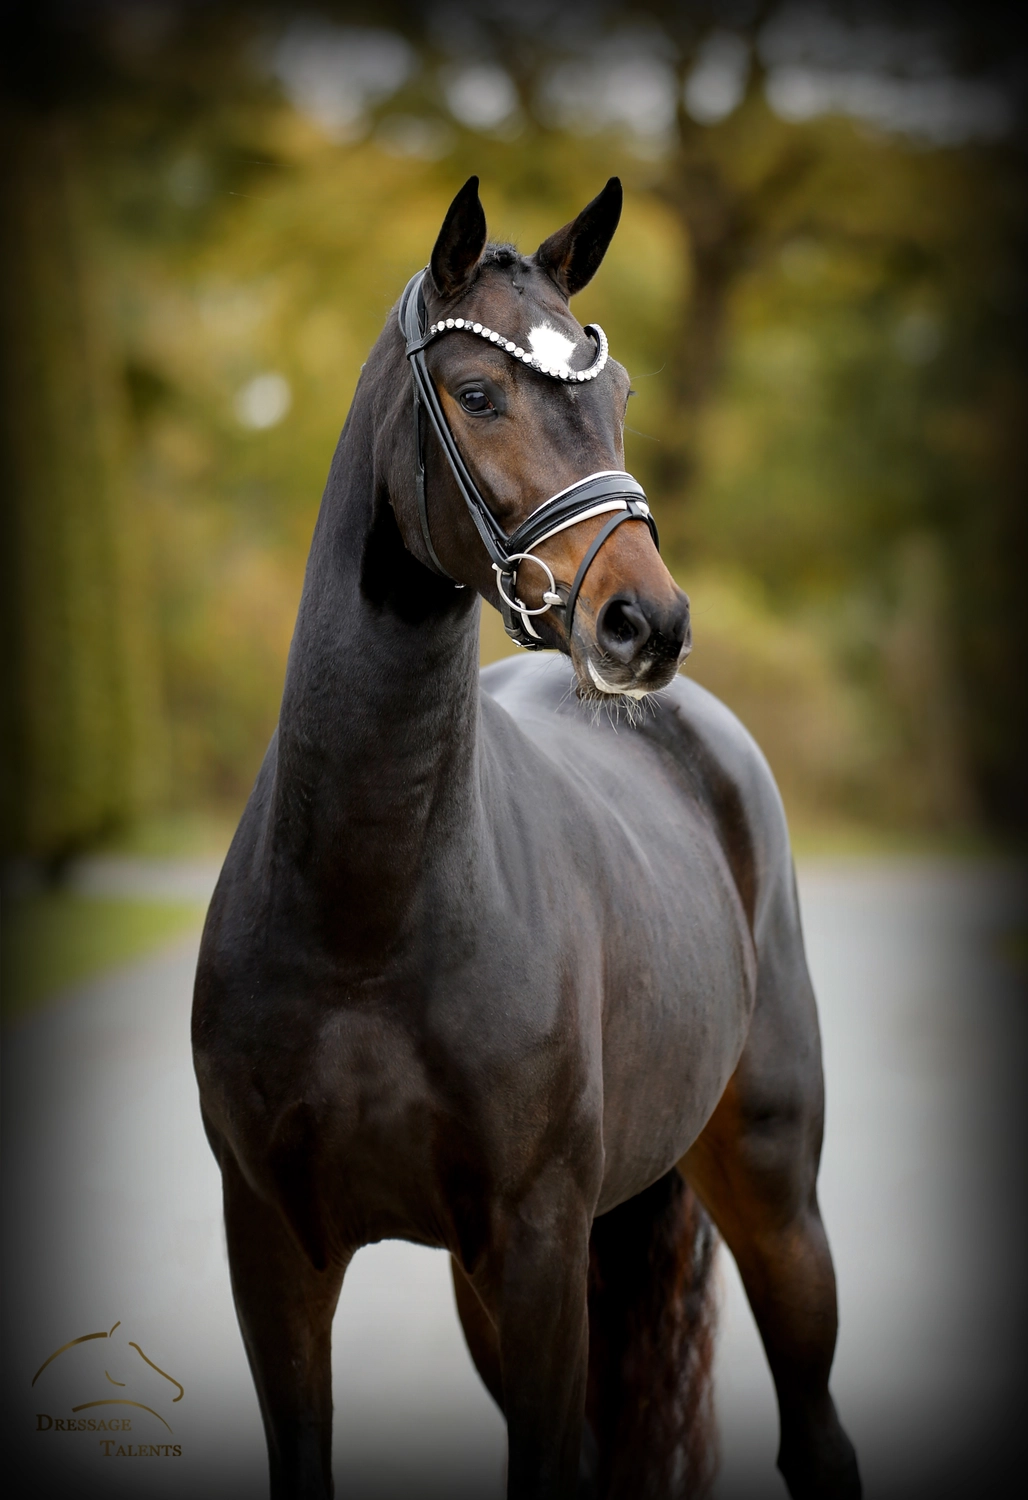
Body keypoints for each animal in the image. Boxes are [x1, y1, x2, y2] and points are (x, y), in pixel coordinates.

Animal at [192, 176, 861, 1500]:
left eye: (620, 395)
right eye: (479, 392)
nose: (645, 622)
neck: (364, 919)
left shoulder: (539, 1244)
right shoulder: (274, 1248)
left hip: (772, 1199)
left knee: (816, 1437)